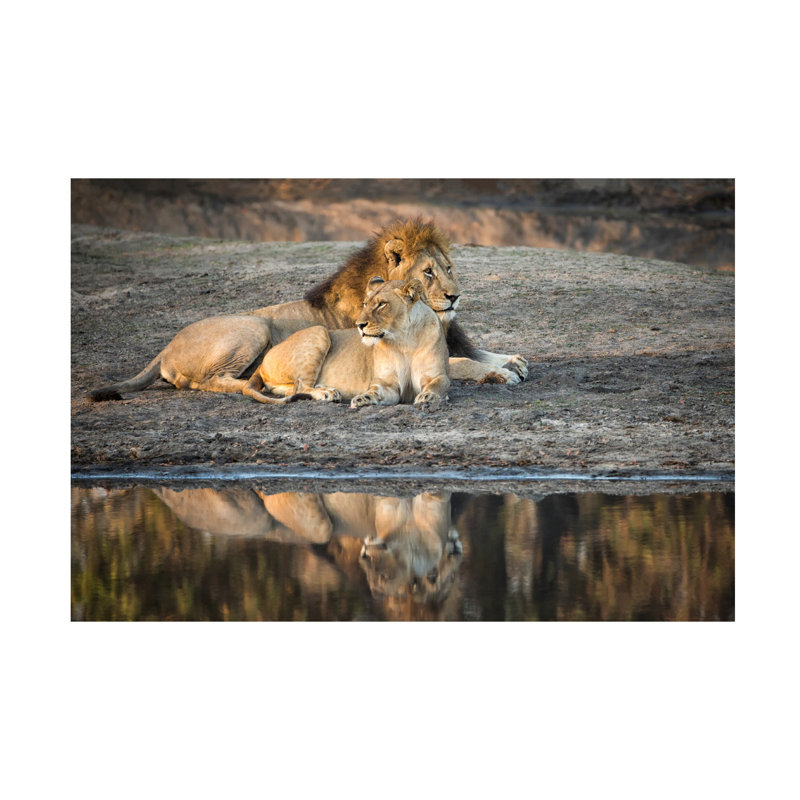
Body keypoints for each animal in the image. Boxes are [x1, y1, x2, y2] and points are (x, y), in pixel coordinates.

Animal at [243, 277, 449, 409]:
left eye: (382, 304)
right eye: (365, 303)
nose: (360, 325)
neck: (403, 340)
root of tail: (264, 359)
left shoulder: (436, 374)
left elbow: (439, 384)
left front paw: (428, 396)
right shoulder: (387, 382)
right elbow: (376, 390)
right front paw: (364, 397)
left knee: (292, 390)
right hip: (320, 331)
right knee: (301, 387)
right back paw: (327, 393)